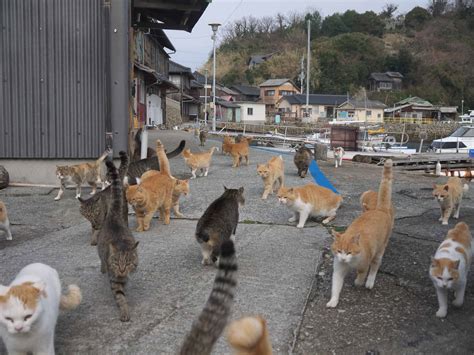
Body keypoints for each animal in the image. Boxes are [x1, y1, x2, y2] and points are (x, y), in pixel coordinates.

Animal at [96, 160, 138, 322]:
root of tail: (114, 216)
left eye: (127, 263)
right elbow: (120, 296)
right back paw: (103, 267)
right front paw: (124, 311)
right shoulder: (114, 280)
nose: (121, 270)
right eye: (116, 262)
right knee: (101, 258)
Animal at [324, 159, 394, 308]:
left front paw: (358, 282)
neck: (350, 264)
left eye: (349, 252)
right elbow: (336, 286)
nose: (343, 259)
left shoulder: (364, 265)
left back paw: (370, 282)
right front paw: (333, 301)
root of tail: (379, 209)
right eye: (339, 251)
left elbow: (362, 274)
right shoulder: (338, 270)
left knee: (375, 266)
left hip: (380, 250)